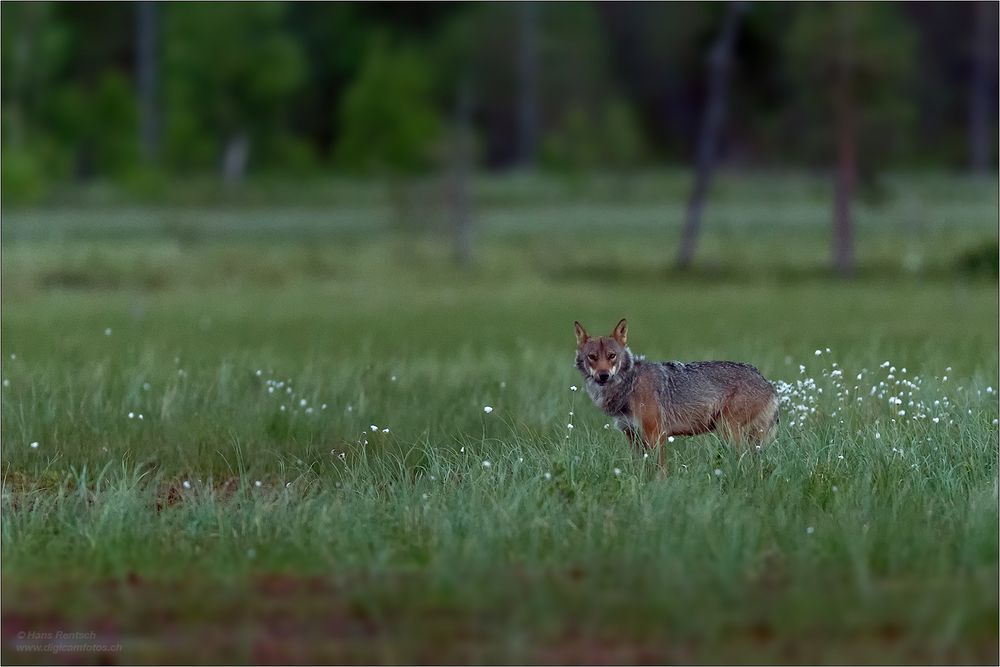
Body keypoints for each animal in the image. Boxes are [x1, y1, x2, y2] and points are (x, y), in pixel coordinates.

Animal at [576, 320, 776, 468]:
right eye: (592, 357)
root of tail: (767, 382)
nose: (603, 375)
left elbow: (659, 471)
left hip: (728, 432)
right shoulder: (632, 437)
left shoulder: (656, 435)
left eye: (612, 356)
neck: (630, 384)